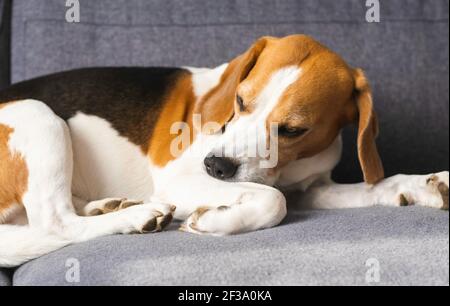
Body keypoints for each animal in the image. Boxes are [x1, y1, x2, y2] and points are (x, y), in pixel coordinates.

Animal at [0, 34, 446, 266]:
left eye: (293, 130)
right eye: (241, 101)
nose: (215, 166)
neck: (285, 169)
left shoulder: (315, 187)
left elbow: (374, 186)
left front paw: (423, 185)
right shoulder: (180, 179)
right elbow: (274, 201)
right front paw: (216, 221)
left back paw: (110, 206)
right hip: (38, 115)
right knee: (57, 223)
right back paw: (137, 215)